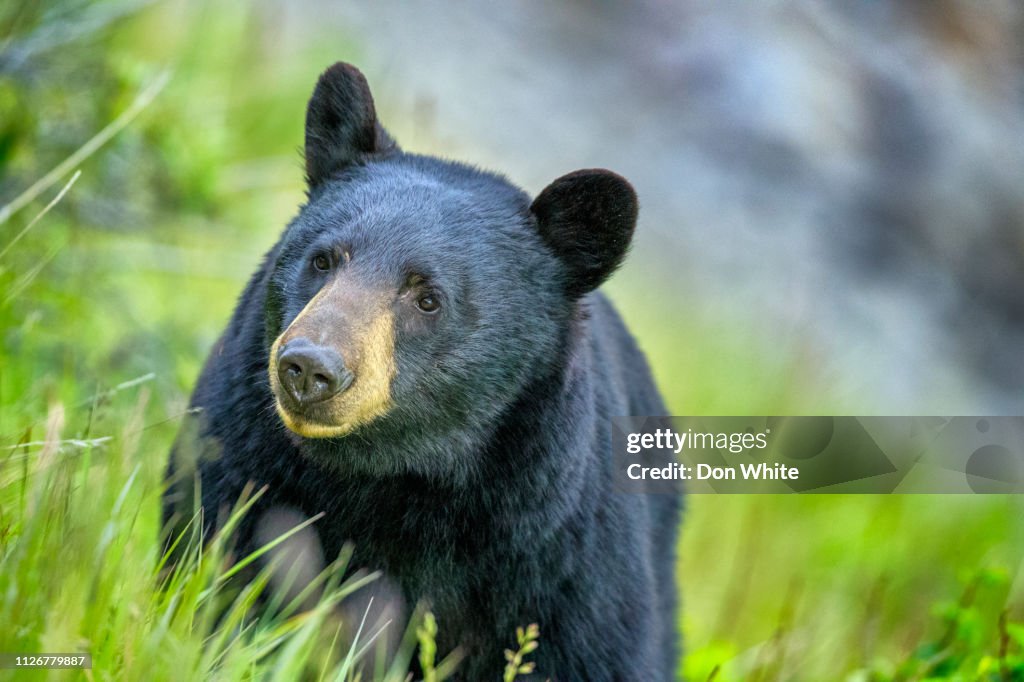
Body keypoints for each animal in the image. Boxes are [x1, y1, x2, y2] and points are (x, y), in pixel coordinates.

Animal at [165, 61, 679, 675]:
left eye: (427, 297)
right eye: (323, 259)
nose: (310, 368)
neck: (398, 478)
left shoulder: (565, 561)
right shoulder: (240, 459)